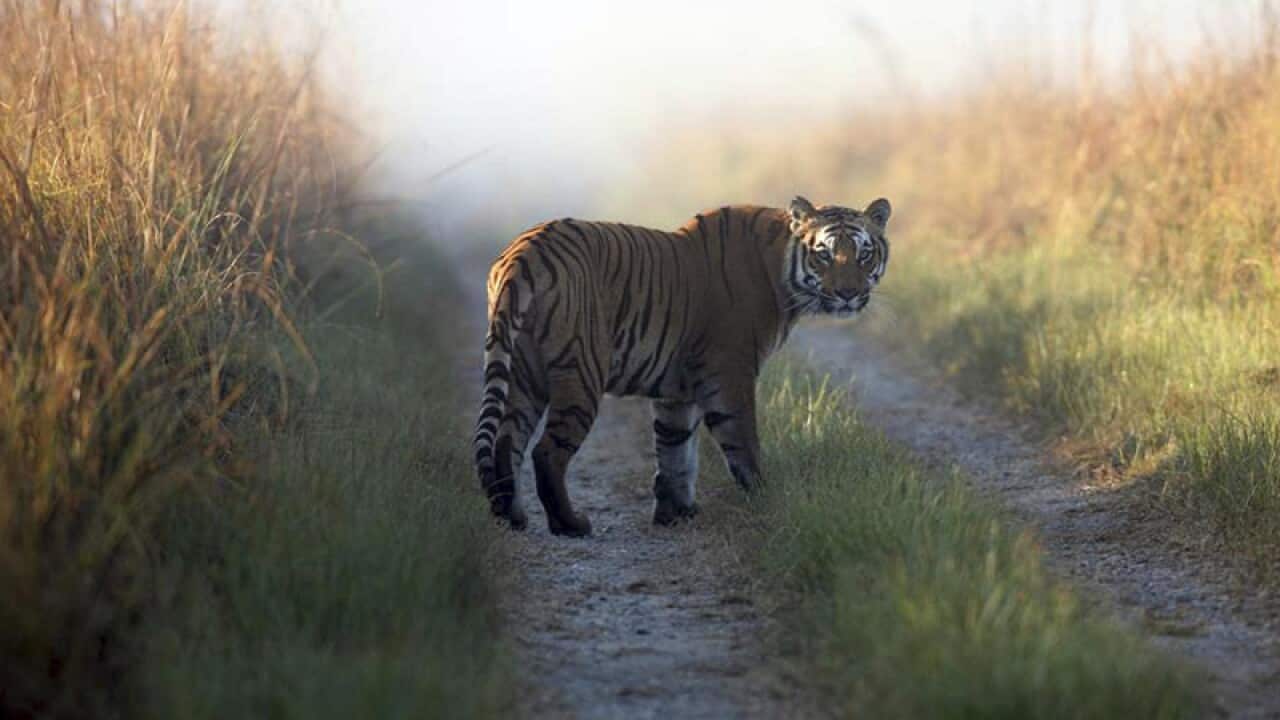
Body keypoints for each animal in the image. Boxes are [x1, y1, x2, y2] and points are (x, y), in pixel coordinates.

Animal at [473, 196, 891, 536]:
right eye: (823, 254)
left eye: (864, 254)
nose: (849, 294)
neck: (781, 271)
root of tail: (523, 254)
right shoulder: (731, 373)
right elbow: (742, 444)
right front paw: (766, 501)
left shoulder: (677, 389)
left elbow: (675, 449)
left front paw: (675, 513)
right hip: (580, 372)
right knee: (546, 452)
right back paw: (569, 524)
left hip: (524, 373)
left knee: (507, 440)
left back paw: (512, 515)